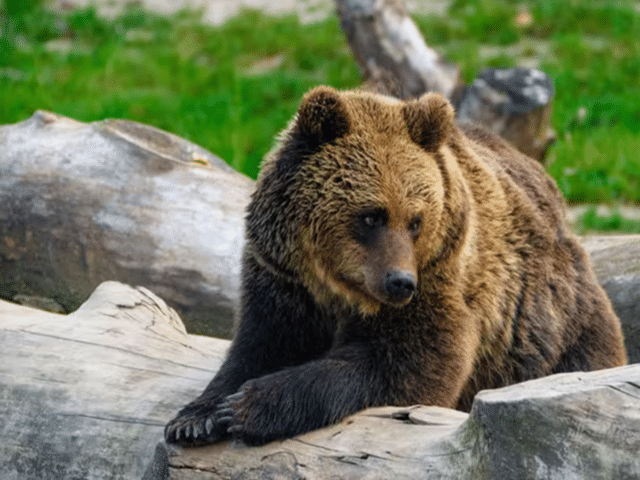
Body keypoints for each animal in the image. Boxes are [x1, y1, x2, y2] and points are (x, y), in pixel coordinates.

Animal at [164, 86, 627, 446]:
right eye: (371, 216)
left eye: (416, 220)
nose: (399, 282)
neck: (339, 288)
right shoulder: (283, 278)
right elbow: (259, 344)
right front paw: (196, 417)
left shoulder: (443, 279)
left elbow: (409, 364)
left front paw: (251, 405)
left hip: (552, 328)